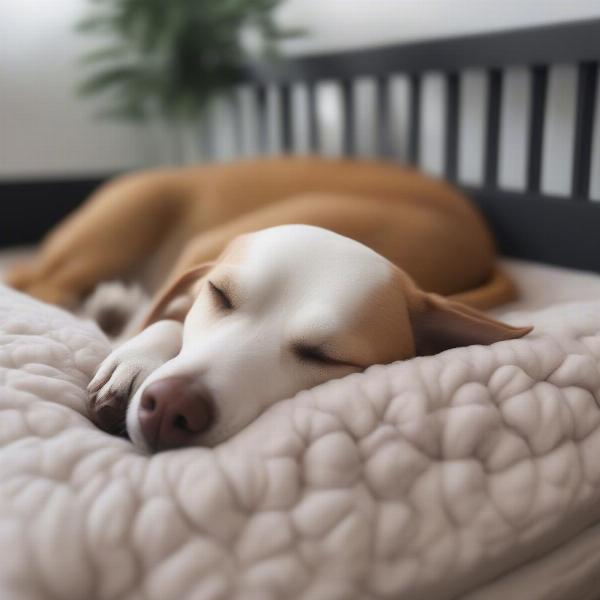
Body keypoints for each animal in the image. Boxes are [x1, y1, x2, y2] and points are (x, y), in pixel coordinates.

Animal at [4, 158, 528, 450]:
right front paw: (134, 357)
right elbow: (167, 315)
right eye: (220, 294)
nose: (173, 405)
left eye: (325, 357)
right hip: (131, 219)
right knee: (42, 283)